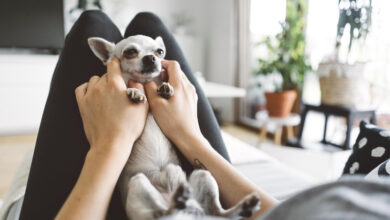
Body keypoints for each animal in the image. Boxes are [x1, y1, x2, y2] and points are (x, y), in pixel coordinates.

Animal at [87, 35, 258, 219]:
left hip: (203, 174)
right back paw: (176, 202)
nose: (151, 58)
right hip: (138, 184)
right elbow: (129, 87)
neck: (144, 83)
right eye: (130, 52)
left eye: (160, 52)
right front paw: (135, 91)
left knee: (218, 212)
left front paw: (166, 87)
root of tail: (188, 211)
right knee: (159, 213)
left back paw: (243, 206)